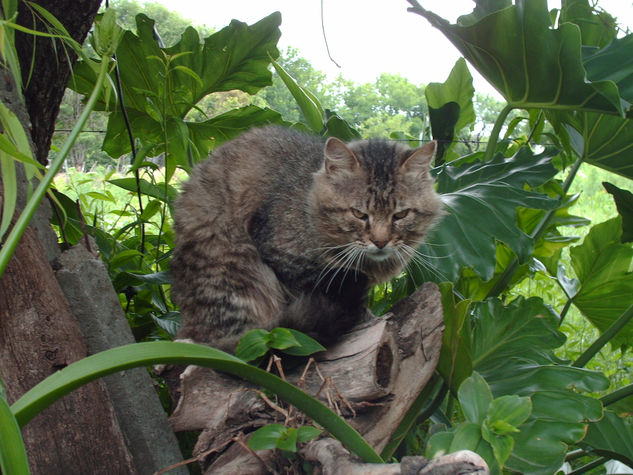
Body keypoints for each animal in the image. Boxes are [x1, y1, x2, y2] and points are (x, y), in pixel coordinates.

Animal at [170, 124, 442, 352]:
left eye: (401, 215)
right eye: (358, 214)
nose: (381, 241)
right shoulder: (286, 259)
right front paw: (366, 319)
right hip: (238, 273)